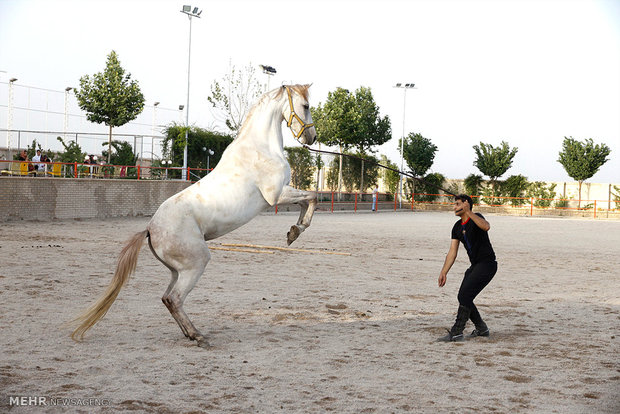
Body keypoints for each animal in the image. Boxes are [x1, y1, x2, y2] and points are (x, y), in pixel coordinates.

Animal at [70, 85, 318, 348]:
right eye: (305, 106)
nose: (311, 138)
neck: (260, 148)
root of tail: (150, 229)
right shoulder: (277, 195)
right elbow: (312, 196)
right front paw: (296, 231)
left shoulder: (282, 194)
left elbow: (307, 200)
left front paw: (293, 232)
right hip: (196, 263)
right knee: (175, 298)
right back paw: (198, 336)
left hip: (177, 270)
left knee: (167, 298)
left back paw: (189, 333)